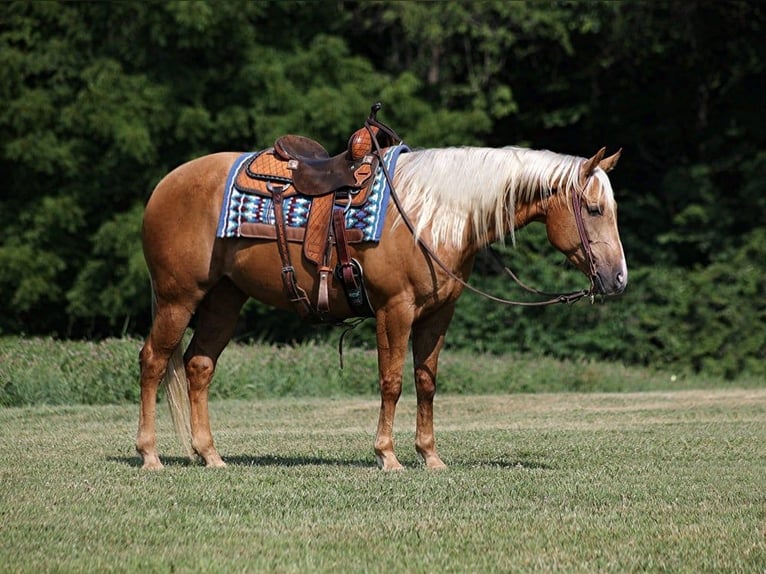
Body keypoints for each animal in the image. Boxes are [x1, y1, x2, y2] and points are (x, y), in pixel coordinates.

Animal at [140, 142, 632, 470]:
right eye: (593, 209)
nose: (618, 279)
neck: (432, 216)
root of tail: (165, 185)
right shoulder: (394, 309)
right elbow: (392, 382)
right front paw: (388, 457)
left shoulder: (438, 314)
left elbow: (426, 382)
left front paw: (430, 457)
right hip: (178, 297)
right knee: (153, 361)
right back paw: (149, 455)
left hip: (225, 297)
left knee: (199, 365)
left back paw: (211, 456)